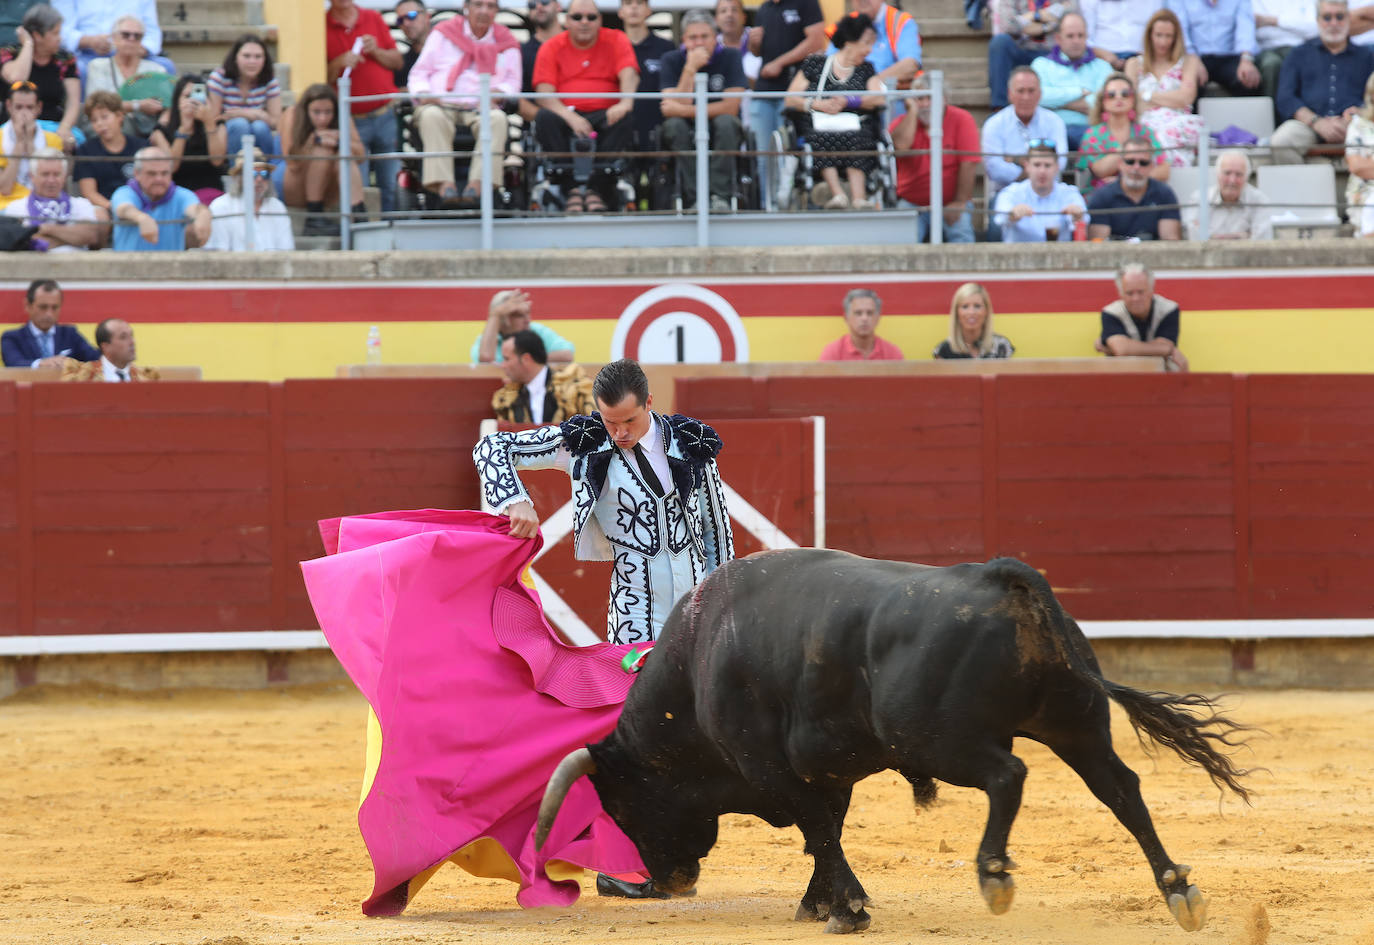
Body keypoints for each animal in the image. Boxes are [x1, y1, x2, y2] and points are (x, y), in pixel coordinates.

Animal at [538, 549, 1258, 934]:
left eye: (622, 806)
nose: (661, 881)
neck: (696, 665)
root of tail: (1001, 578)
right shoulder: (828, 771)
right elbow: (825, 831)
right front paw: (823, 903)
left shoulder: (768, 766)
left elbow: (816, 830)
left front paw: (847, 909)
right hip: (1073, 725)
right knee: (1121, 788)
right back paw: (1178, 889)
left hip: (939, 738)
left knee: (1009, 776)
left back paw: (994, 874)